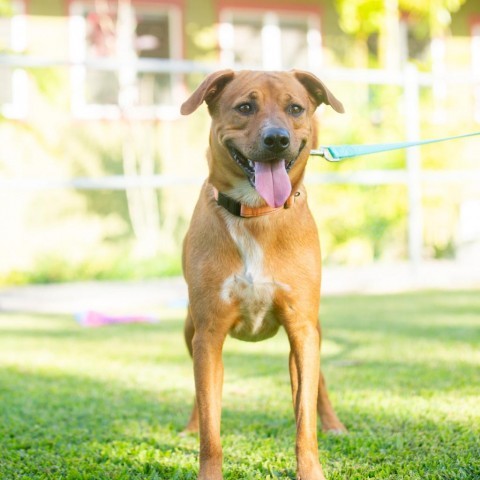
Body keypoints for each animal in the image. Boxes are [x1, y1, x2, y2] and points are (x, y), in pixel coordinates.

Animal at [180, 68, 344, 480]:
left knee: (319, 384)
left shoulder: (302, 331)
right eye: (245, 107)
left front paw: (311, 470)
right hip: (190, 331)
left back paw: (334, 423)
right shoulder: (208, 336)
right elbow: (211, 428)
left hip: (314, 332)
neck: (255, 213)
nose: (277, 139)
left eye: (295, 108)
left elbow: (304, 421)